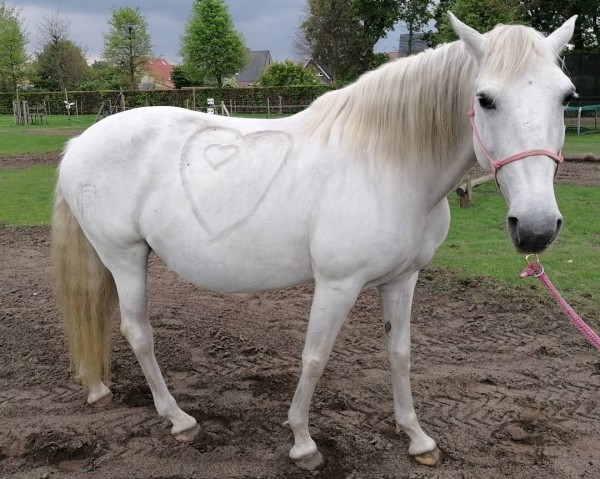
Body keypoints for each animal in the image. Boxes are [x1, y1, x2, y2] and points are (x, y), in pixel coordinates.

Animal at [51, 14, 576, 468]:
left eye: (566, 97)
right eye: (485, 99)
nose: (536, 226)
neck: (387, 163)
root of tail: (79, 143)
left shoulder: (403, 280)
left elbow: (400, 354)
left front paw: (417, 438)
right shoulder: (337, 284)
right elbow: (315, 357)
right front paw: (303, 443)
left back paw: (99, 389)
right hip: (124, 257)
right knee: (138, 332)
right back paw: (178, 419)